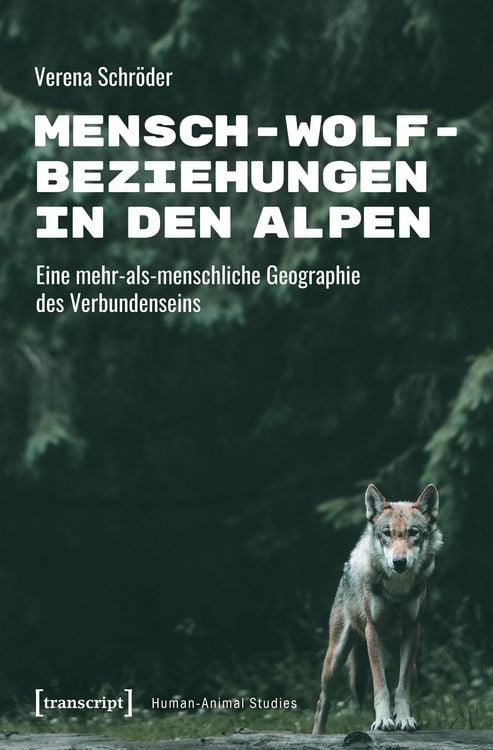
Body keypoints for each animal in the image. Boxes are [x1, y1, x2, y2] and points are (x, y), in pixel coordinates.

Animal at [312, 483, 442, 735]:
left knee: (408, 679)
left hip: (408, 660)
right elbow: (380, 685)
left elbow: (402, 688)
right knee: (323, 700)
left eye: (413, 533)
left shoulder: (413, 630)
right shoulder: (372, 630)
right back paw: (317, 735)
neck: (397, 590)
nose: (399, 562)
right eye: (387, 533)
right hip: (335, 657)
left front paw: (404, 719)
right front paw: (382, 721)